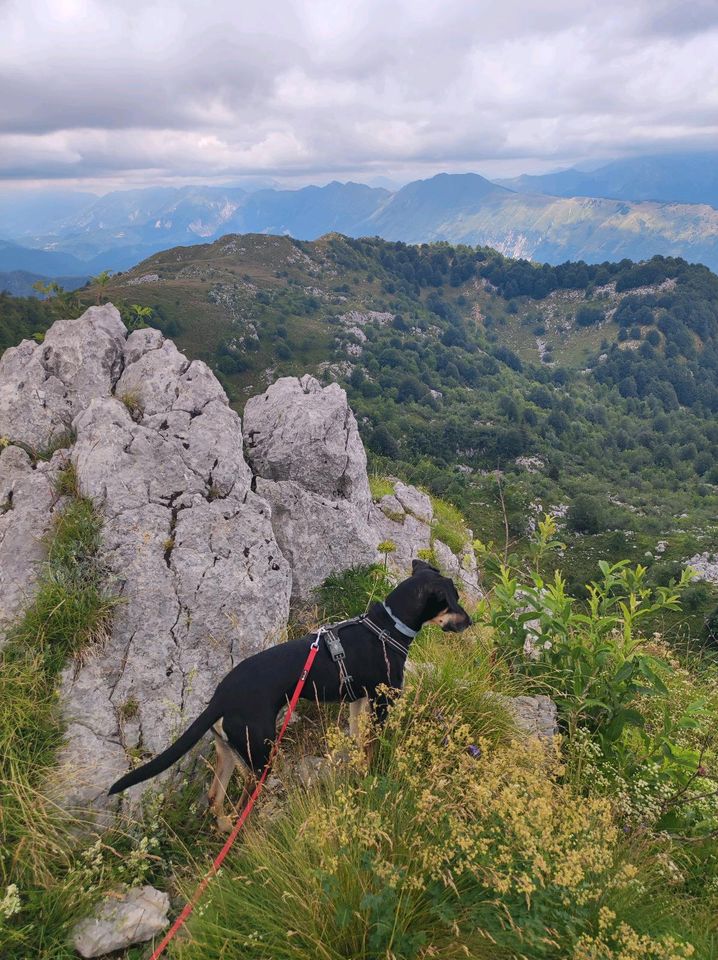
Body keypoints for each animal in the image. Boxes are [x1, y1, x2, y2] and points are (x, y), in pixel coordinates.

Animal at [108, 560, 472, 828]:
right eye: (452, 601)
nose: (471, 621)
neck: (389, 626)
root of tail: (220, 698)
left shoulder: (357, 700)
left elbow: (358, 740)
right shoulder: (384, 700)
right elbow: (373, 745)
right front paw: (374, 771)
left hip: (229, 751)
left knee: (214, 798)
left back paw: (225, 829)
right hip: (260, 754)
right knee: (242, 802)